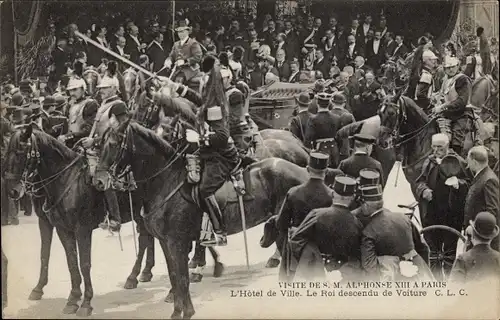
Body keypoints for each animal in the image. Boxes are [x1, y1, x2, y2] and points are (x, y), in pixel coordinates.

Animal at [1, 125, 156, 316]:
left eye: (21, 152)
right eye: (7, 153)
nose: (12, 191)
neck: (66, 182)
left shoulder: (82, 230)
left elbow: (84, 264)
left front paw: (86, 303)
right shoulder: (61, 228)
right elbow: (68, 261)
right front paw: (72, 299)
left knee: (146, 240)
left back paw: (140, 279)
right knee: (147, 238)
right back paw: (141, 274)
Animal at [95, 120, 318, 318]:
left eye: (113, 144)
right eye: (99, 144)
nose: (98, 180)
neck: (166, 182)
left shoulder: (177, 242)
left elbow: (182, 278)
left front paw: (184, 311)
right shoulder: (166, 242)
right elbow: (174, 276)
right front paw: (179, 309)